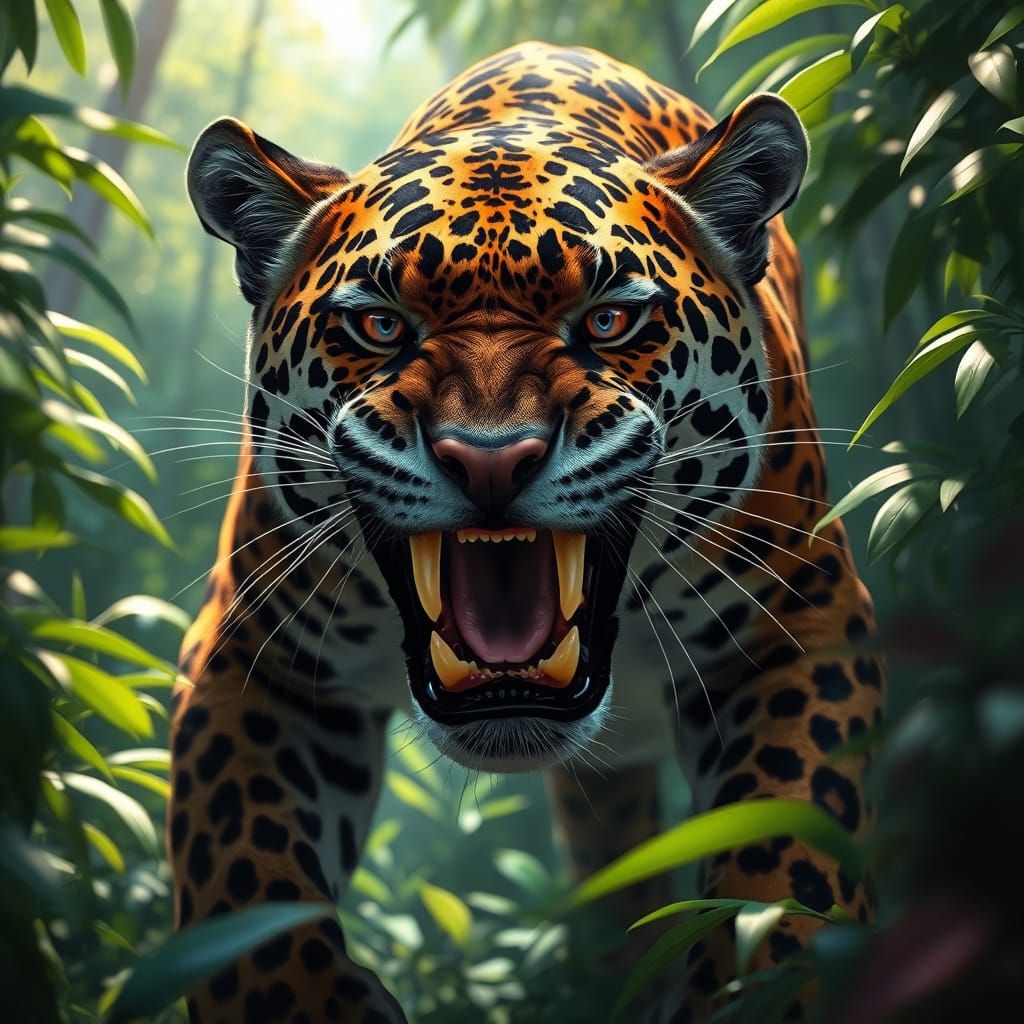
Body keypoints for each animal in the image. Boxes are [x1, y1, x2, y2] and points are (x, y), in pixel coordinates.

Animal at [169, 41, 884, 1024]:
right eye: (380, 325)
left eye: (610, 320)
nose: (490, 460)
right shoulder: (257, 661)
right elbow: (244, 888)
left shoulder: (803, 623)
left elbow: (786, 858)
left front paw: (752, 985)